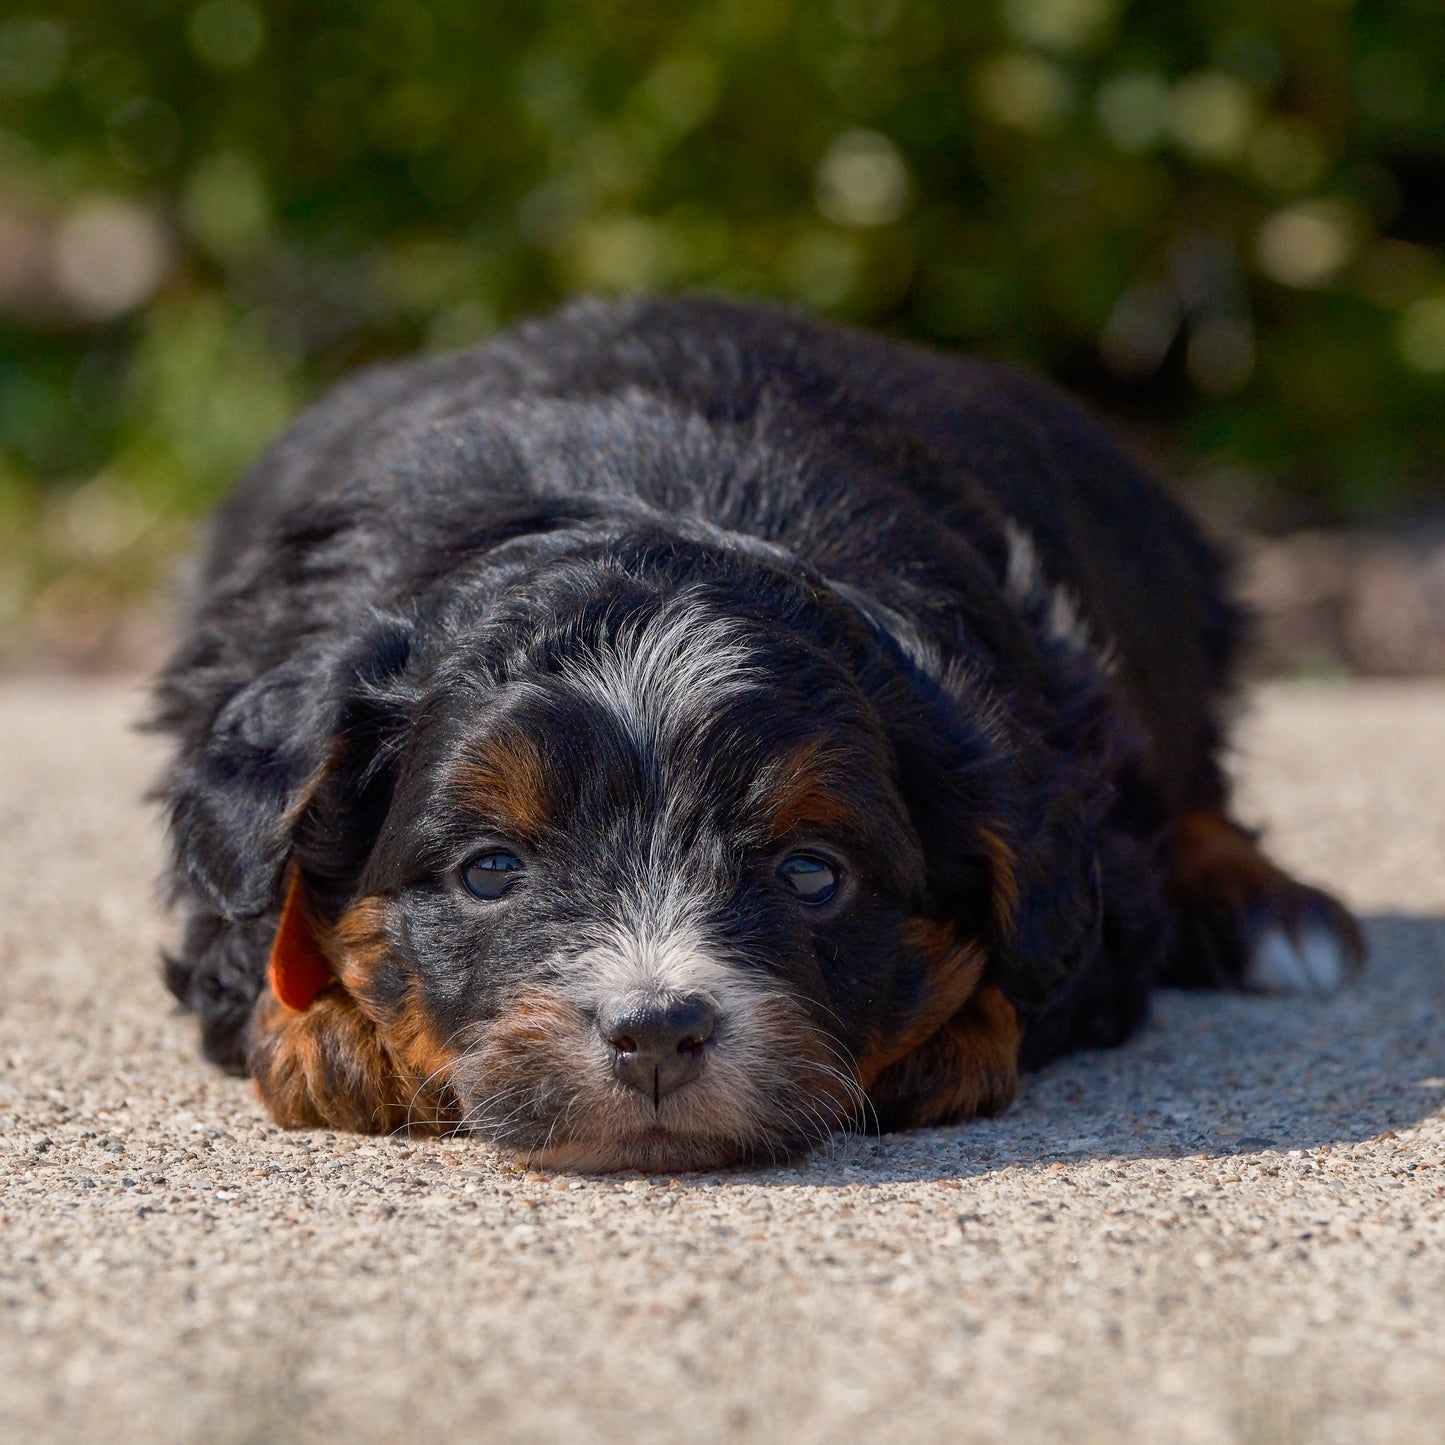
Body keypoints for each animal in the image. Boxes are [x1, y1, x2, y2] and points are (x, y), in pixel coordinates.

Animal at [152, 296, 1358, 1173]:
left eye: (810, 873)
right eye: (490, 869)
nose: (654, 1031)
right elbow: (257, 929)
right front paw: (329, 1037)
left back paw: (1272, 909)